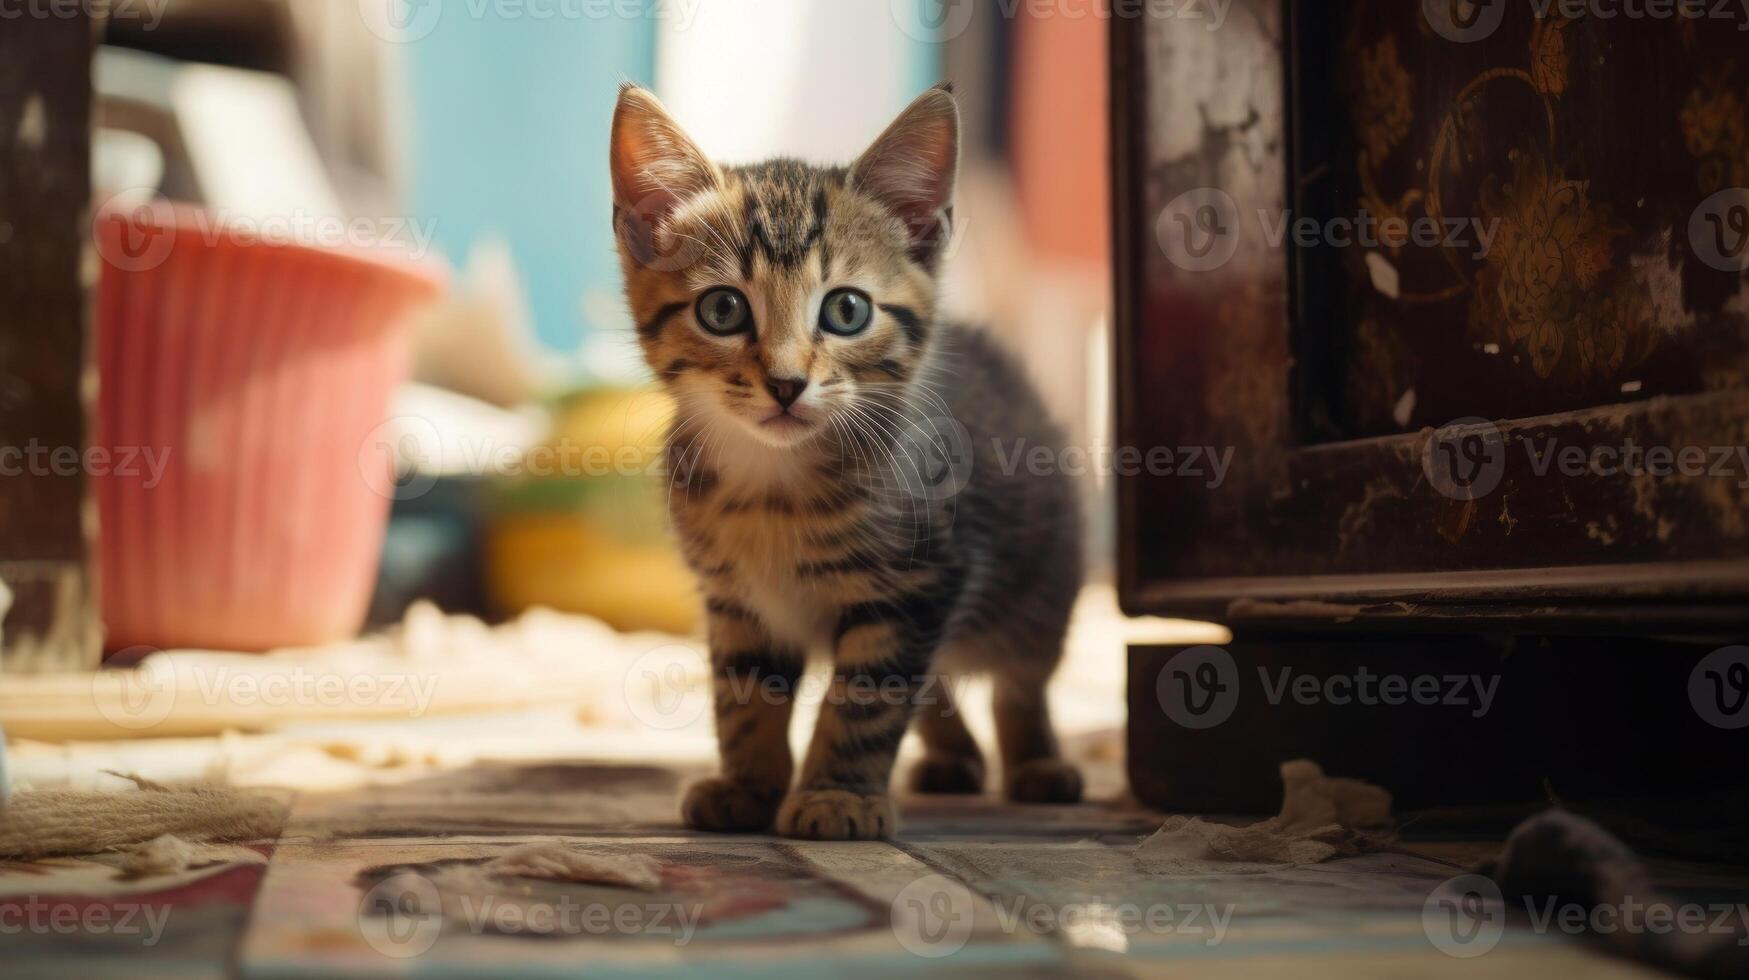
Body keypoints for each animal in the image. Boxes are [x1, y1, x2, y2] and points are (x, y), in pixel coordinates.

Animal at [612, 82, 1077, 843]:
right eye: (722, 309)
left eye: (847, 311)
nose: (785, 382)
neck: (772, 488)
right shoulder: (738, 600)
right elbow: (744, 696)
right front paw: (747, 785)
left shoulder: (919, 580)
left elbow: (868, 697)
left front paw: (837, 795)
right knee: (939, 679)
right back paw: (953, 757)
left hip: (1041, 579)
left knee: (1020, 679)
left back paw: (1037, 762)